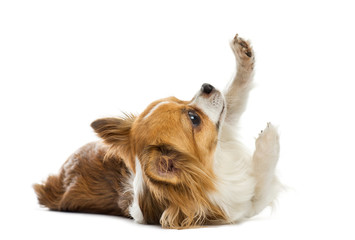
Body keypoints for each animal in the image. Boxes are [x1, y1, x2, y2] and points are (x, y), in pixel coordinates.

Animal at [34, 34, 282, 229]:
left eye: (182, 99)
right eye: (194, 119)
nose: (207, 86)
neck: (216, 161)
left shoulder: (224, 124)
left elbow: (233, 96)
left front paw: (243, 55)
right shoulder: (242, 204)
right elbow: (261, 181)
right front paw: (268, 141)